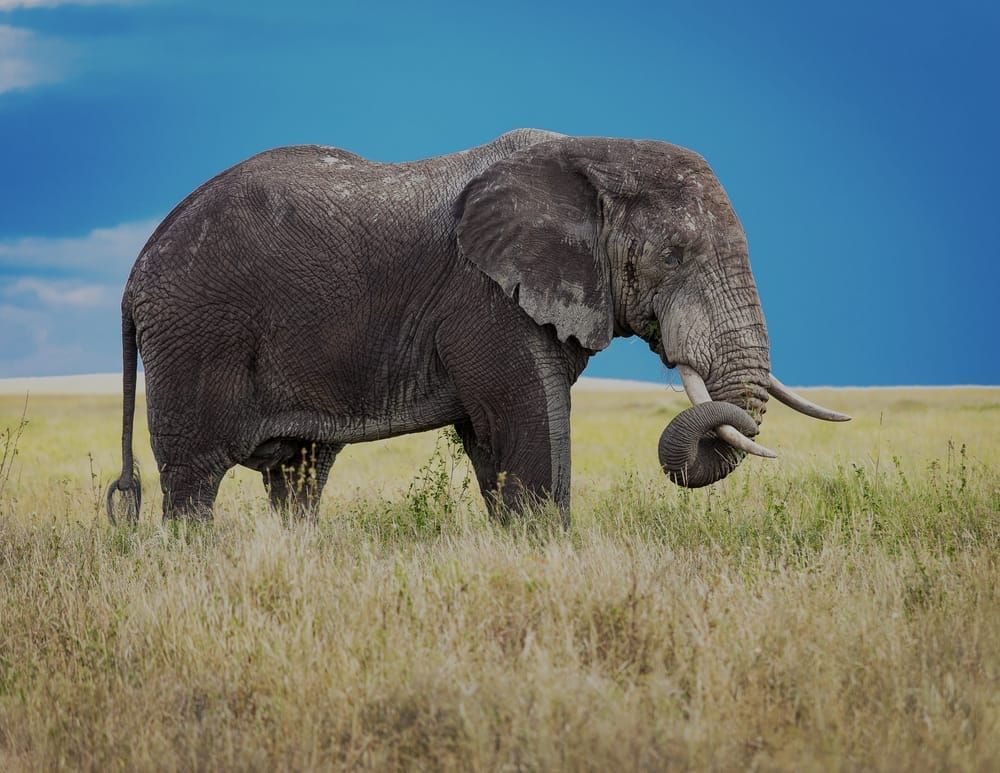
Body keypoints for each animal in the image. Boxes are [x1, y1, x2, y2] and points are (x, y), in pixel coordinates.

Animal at [106, 128, 849, 524]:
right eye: (674, 256)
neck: (591, 153)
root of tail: (137, 270)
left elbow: (494, 439)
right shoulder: (483, 296)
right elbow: (527, 417)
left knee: (299, 474)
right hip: (195, 335)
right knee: (195, 477)